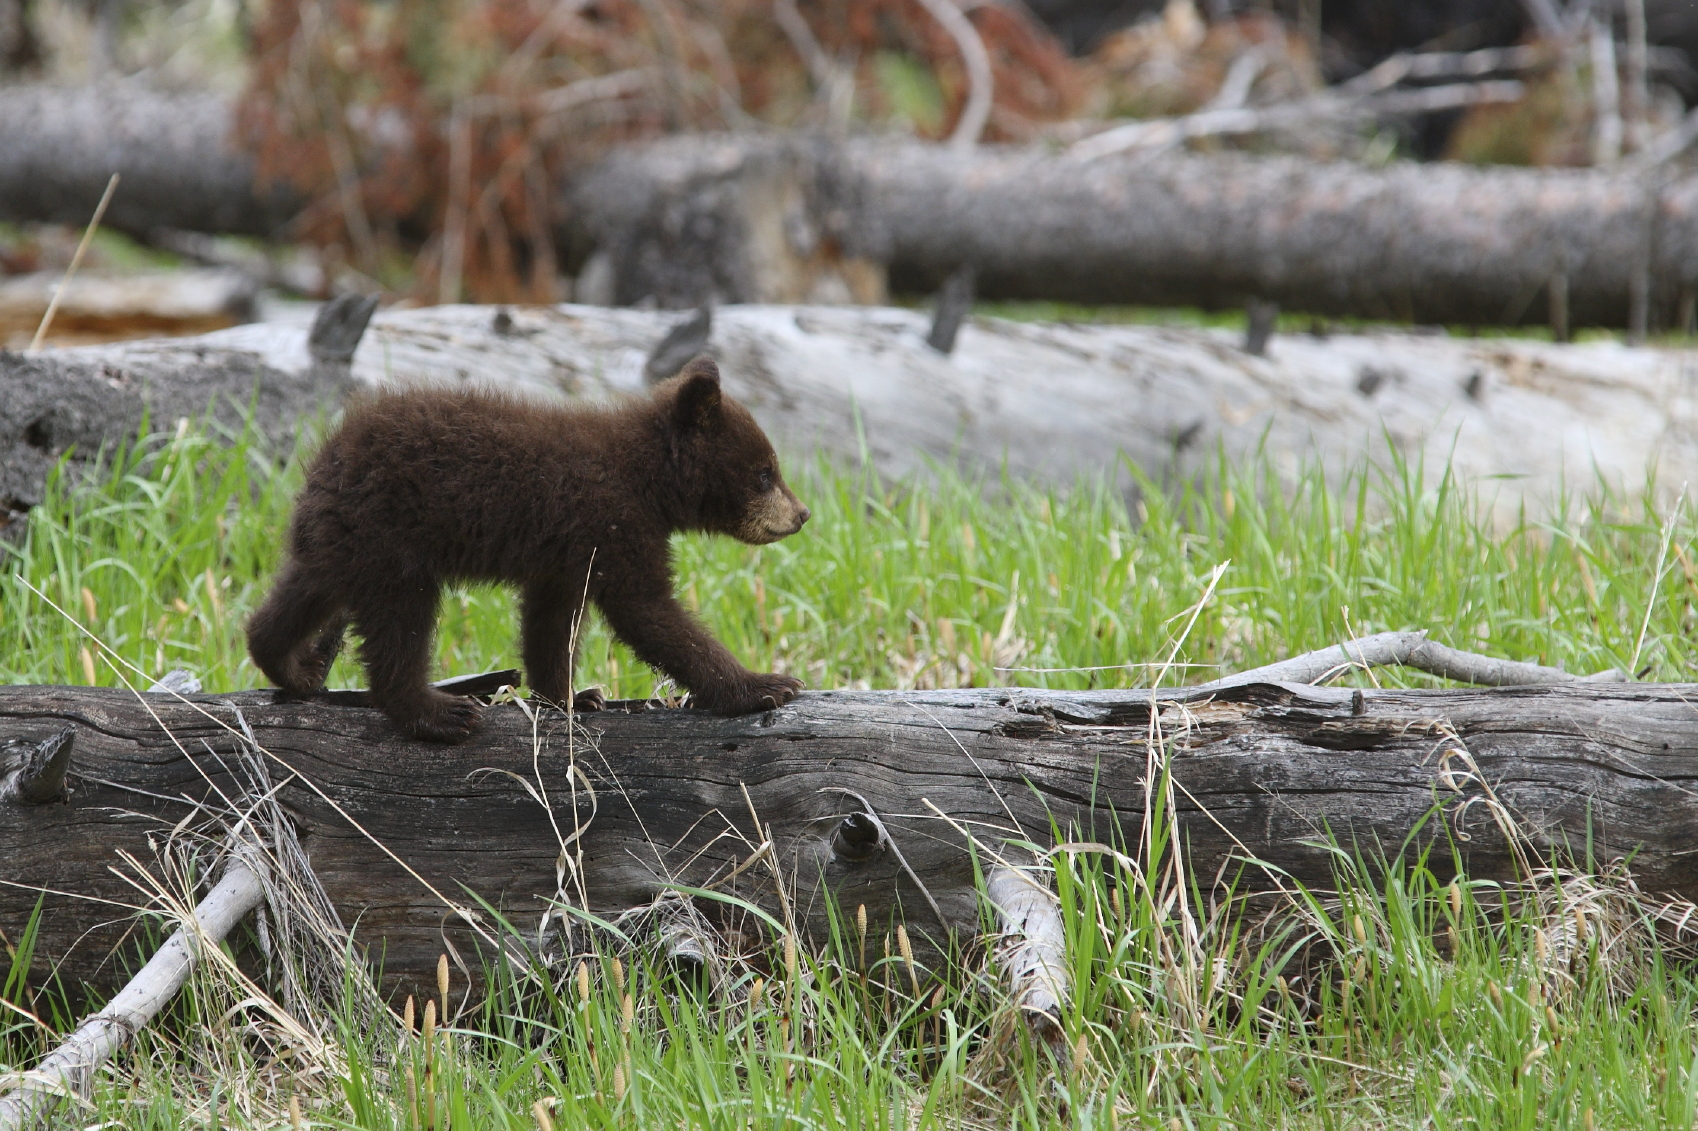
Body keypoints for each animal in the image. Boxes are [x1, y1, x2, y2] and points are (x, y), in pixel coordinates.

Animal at [246, 357, 809, 743]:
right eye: (765, 472)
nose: (801, 514)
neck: (647, 478)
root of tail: (330, 454)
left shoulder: (566, 556)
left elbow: (551, 624)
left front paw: (573, 696)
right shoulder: (613, 525)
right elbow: (648, 611)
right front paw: (765, 684)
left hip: (343, 539)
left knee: (299, 593)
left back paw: (291, 666)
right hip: (393, 540)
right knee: (399, 626)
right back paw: (438, 713)